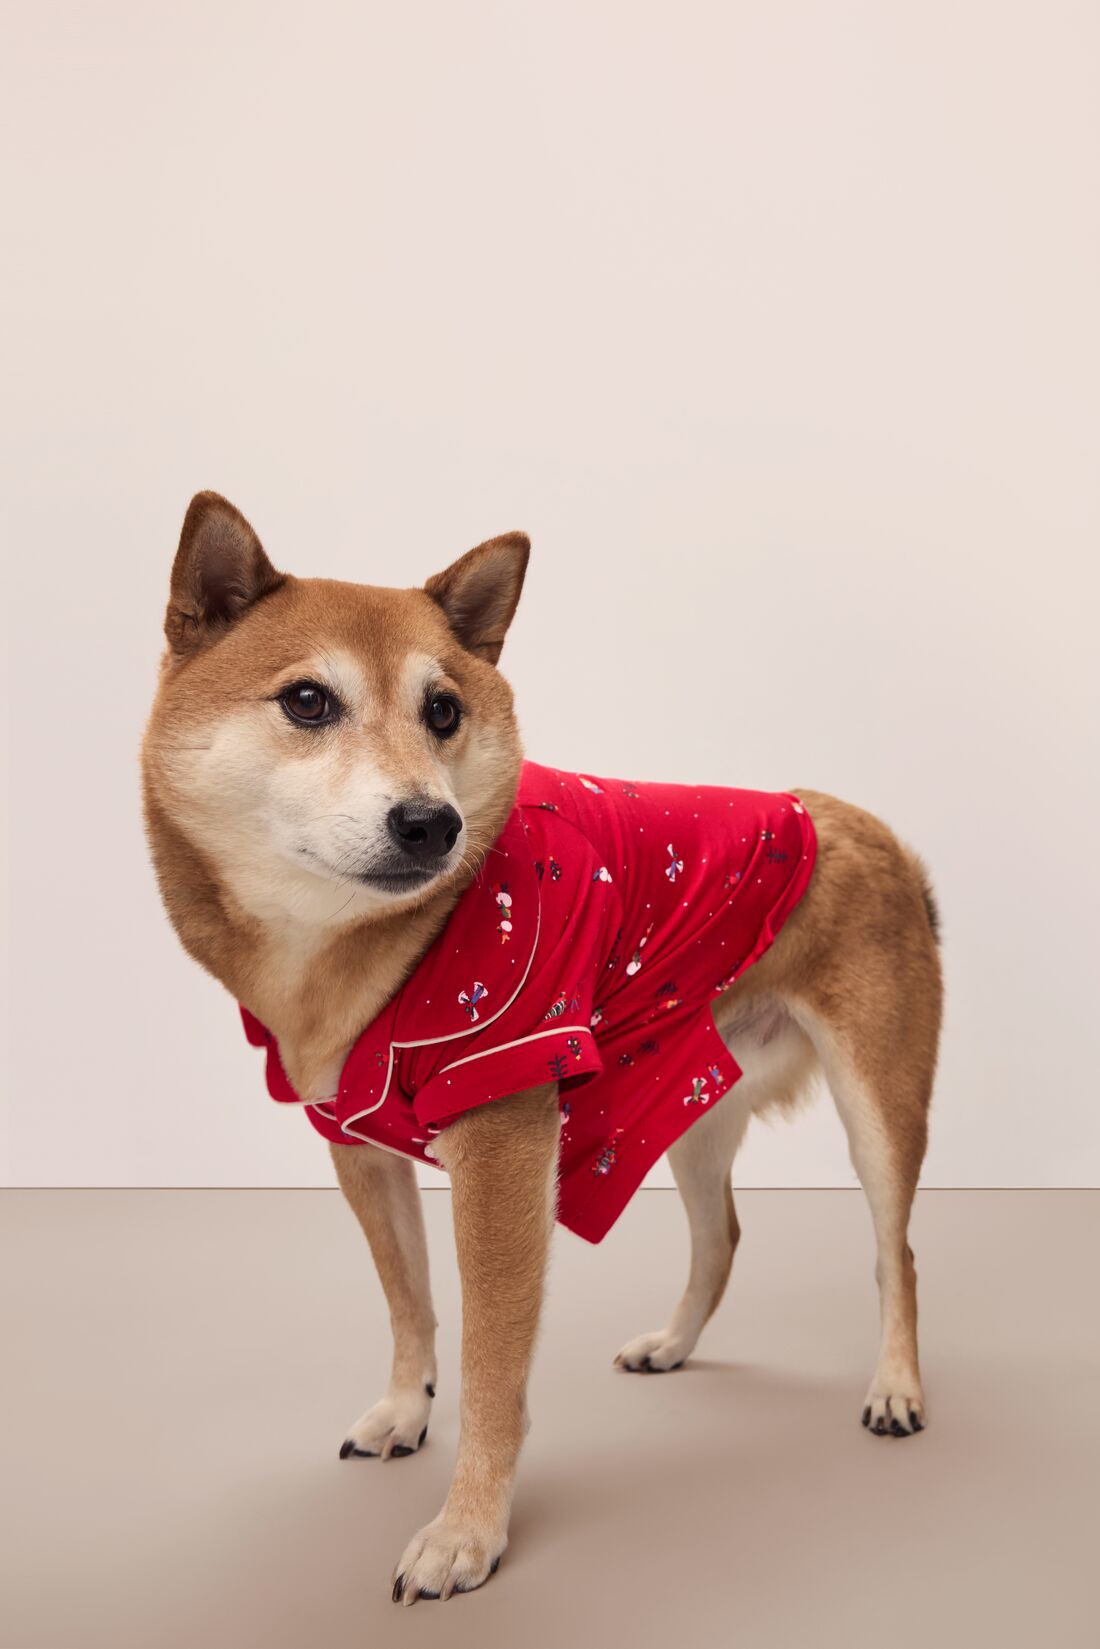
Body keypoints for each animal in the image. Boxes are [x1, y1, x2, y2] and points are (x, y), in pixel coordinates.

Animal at [141, 491, 943, 1609]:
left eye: (443, 711)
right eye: (306, 700)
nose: (429, 822)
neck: (362, 952)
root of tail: (873, 827)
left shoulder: (502, 1149)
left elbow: (491, 1357)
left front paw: (465, 1530)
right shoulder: (356, 1141)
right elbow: (409, 1301)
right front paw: (405, 1409)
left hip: (878, 1102)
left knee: (892, 1250)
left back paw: (895, 1387)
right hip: (690, 1094)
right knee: (722, 1236)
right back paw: (673, 1344)